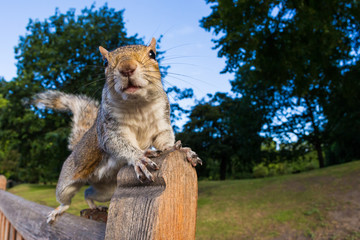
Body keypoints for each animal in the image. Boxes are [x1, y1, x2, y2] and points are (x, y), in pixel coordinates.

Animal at [34, 37, 201, 223]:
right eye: (105, 62)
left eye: (152, 54)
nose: (126, 67)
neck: (137, 105)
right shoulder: (110, 130)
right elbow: (118, 144)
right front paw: (139, 157)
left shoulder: (161, 123)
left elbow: (163, 140)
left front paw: (180, 149)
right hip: (68, 179)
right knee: (66, 198)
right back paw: (59, 210)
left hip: (106, 190)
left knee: (88, 193)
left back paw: (94, 205)